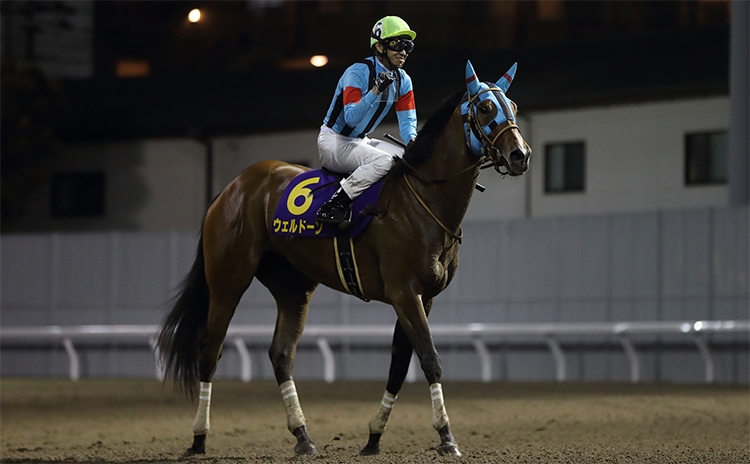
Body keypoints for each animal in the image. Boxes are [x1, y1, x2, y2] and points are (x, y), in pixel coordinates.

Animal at [157, 60, 536, 456]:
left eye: (512, 105)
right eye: (485, 108)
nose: (520, 155)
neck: (422, 199)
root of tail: (230, 188)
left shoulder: (423, 297)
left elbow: (400, 366)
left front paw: (374, 437)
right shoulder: (404, 292)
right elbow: (430, 360)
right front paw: (446, 435)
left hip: (293, 289)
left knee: (281, 355)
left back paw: (303, 436)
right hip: (228, 282)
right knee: (209, 352)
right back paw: (199, 438)